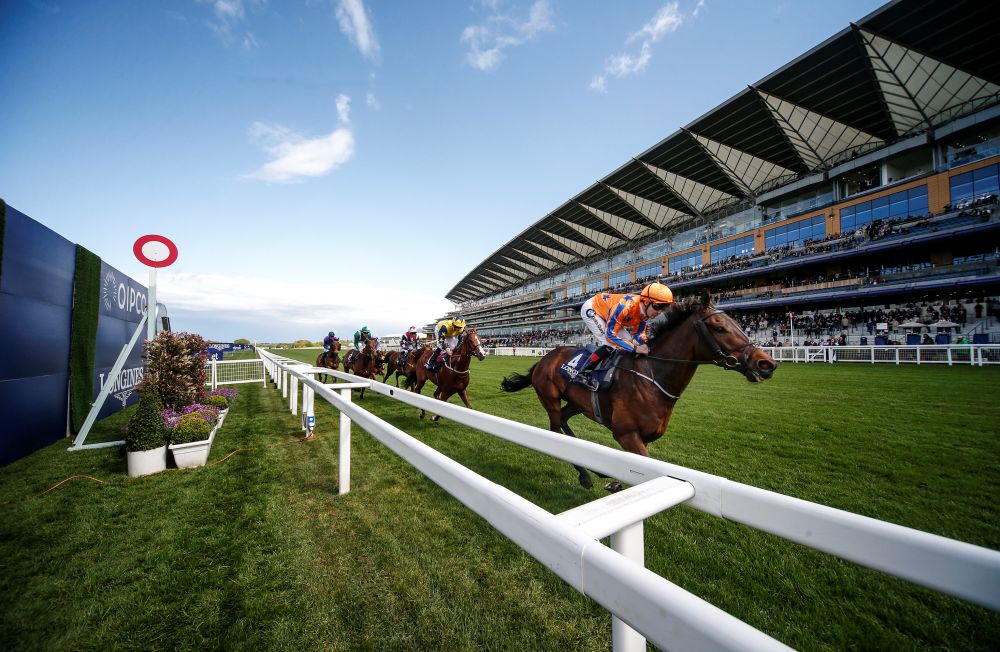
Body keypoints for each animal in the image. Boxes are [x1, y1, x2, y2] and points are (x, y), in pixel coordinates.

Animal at [504, 294, 776, 488]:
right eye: (720, 328)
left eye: (738, 323)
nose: (767, 364)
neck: (652, 377)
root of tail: (544, 359)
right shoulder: (627, 435)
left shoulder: (644, 438)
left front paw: (614, 481)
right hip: (549, 396)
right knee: (555, 428)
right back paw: (585, 476)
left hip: (577, 403)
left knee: (563, 421)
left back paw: (594, 469)